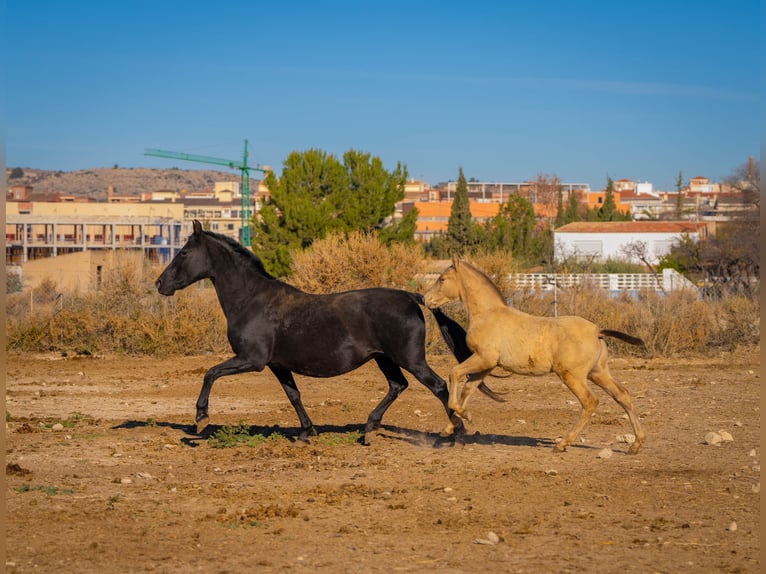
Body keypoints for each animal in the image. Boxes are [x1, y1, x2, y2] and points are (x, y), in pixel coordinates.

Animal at [158, 220, 504, 446]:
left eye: (184, 252)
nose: (160, 284)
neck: (251, 300)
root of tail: (410, 297)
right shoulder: (277, 365)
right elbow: (294, 395)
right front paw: (305, 433)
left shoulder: (251, 359)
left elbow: (210, 373)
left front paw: (200, 419)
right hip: (385, 359)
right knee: (398, 386)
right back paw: (369, 429)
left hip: (410, 359)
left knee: (439, 386)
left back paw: (454, 435)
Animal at [426, 260, 648, 454]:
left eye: (442, 279)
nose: (426, 299)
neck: (488, 314)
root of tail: (597, 331)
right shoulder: (487, 365)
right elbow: (469, 389)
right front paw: (450, 427)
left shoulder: (484, 358)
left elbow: (454, 373)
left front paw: (464, 416)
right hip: (598, 373)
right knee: (622, 395)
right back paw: (635, 445)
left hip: (572, 376)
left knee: (590, 401)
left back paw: (562, 444)